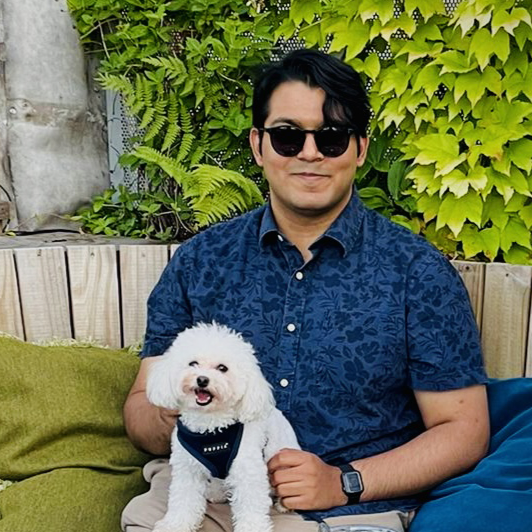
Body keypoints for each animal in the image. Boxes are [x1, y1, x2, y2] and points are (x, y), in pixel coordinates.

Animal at [146, 322, 301, 532]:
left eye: (222, 368)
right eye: (193, 363)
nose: (202, 379)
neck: (210, 428)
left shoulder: (248, 469)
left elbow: (251, 504)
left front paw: (252, 527)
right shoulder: (187, 469)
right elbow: (183, 499)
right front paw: (175, 525)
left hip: (281, 455)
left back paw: (284, 504)